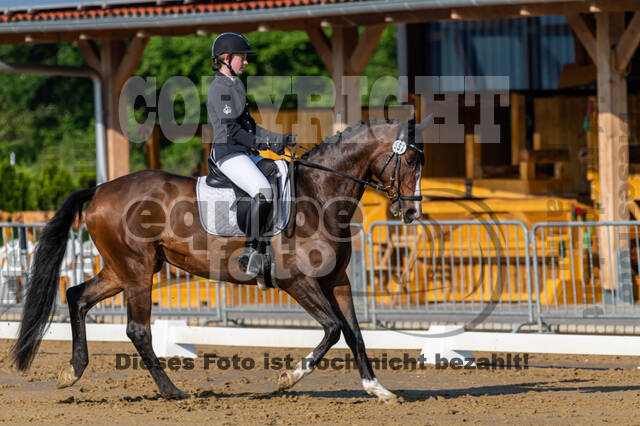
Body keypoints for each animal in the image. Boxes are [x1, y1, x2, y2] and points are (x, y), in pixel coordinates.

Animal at [11, 117, 429, 403]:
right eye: (410, 161)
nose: (411, 213)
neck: (319, 194)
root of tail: (99, 190)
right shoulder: (297, 282)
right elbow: (333, 330)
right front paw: (288, 379)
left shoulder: (337, 282)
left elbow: (355, 334)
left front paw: (377, 388)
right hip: (137, 272)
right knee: (137, 330)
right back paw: (172, 391)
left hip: (122, 270)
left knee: (77, 297)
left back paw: (73, 371)